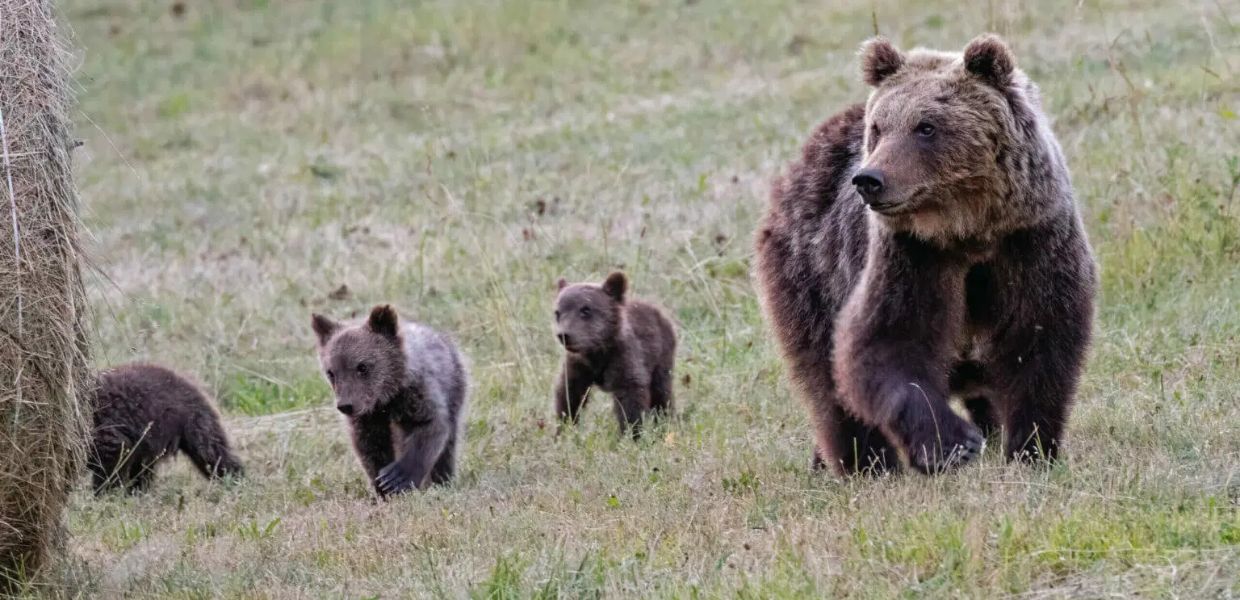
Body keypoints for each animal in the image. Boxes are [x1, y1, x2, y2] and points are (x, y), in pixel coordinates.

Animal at [88, 364, 244, 494]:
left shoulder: (108, 429)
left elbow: (111, 463)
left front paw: (104, 493)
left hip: (192, 419)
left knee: (212, 452)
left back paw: (236, 481)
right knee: (144, 467)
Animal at [312, 305, 467, 497]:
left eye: (362, 367)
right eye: (331, 372)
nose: (346, 405)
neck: (386, 399)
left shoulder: (417, 394)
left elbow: (430, 425)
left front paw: (396, 478)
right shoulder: (368, 418)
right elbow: (371, 448)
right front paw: (383, 488)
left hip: (455, 387)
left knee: (448, 444)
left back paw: (443, 481)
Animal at [552, 272, 677, 437]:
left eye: (585, 310)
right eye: (558, 312)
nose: (564, 335)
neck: (598, 352)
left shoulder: (623, 360)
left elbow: (630, 399)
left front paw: (632, 434)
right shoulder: (579, 366)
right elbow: (569, 395)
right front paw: (564, 429)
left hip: (661, 358)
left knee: (661, 394)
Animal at [753, 34, 1097, 476]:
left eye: (926, 126)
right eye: (879, 127)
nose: (869, 179)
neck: (968, 231)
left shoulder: (1030, 244)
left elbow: (1040, 342)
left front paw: (1031, 448)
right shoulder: (911, 257)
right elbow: (885, 343)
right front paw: (953, 442)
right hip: (810, 274)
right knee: (826, 380)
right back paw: (865, 463)